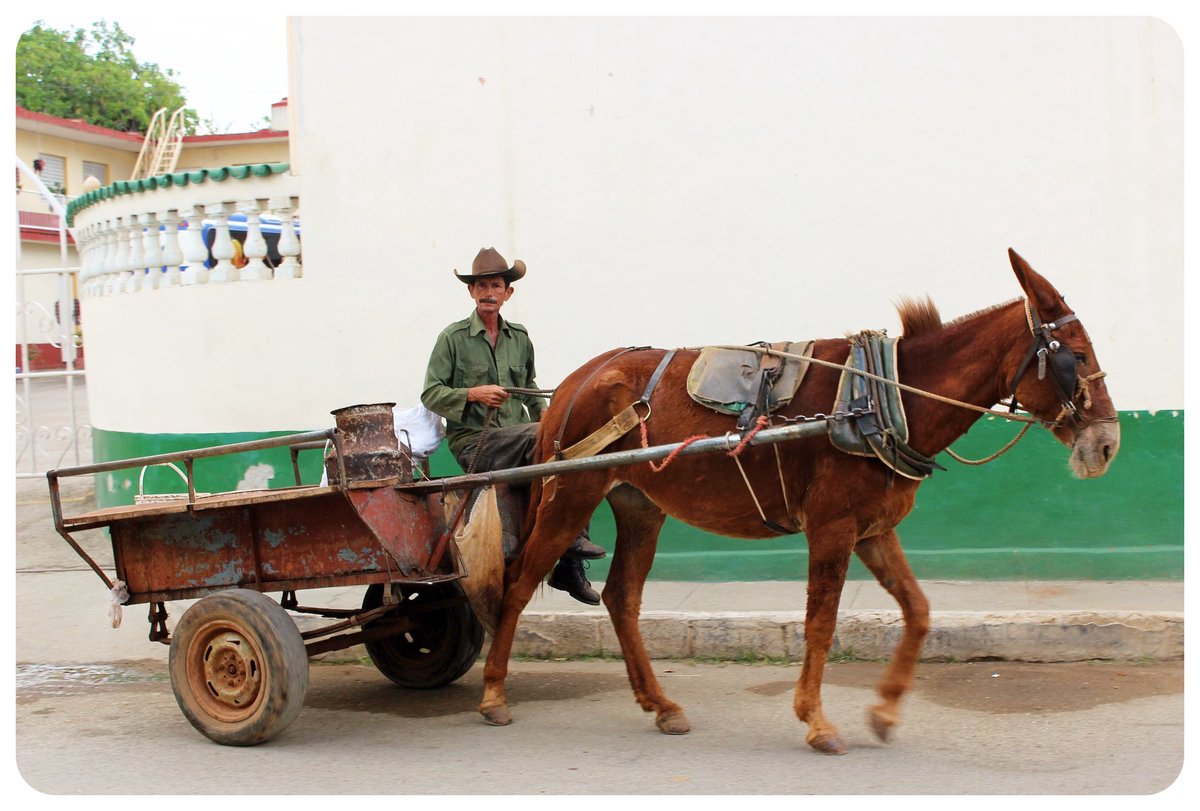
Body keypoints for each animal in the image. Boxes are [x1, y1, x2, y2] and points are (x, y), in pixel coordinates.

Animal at [478, 249, 1120, 755]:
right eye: (1077, 356)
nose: (1108, 444)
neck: (885, 396)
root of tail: (577, 379)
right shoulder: (832, 527)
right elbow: (820, 623)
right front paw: (816, 722)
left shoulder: (872, 529)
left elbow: (917, 610)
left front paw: (884, 712)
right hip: (572, 493)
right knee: (518, 581)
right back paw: (493, 692)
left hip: (640, 504)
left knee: (621, 599)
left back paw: (661, 705)